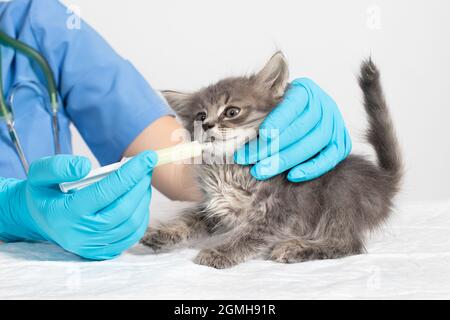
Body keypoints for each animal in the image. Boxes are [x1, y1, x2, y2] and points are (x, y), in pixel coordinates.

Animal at [141, 52, 400, 268]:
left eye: (232, 112)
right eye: (200, 116)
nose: (206, 125)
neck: (227, 167)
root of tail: (383, 181)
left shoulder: (279, 210)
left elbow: (248, 235)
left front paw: (220, 252)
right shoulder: (216, 207)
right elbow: (190, 219)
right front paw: (163, 232)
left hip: (341, 192)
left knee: (348, 244)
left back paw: (297, 248)